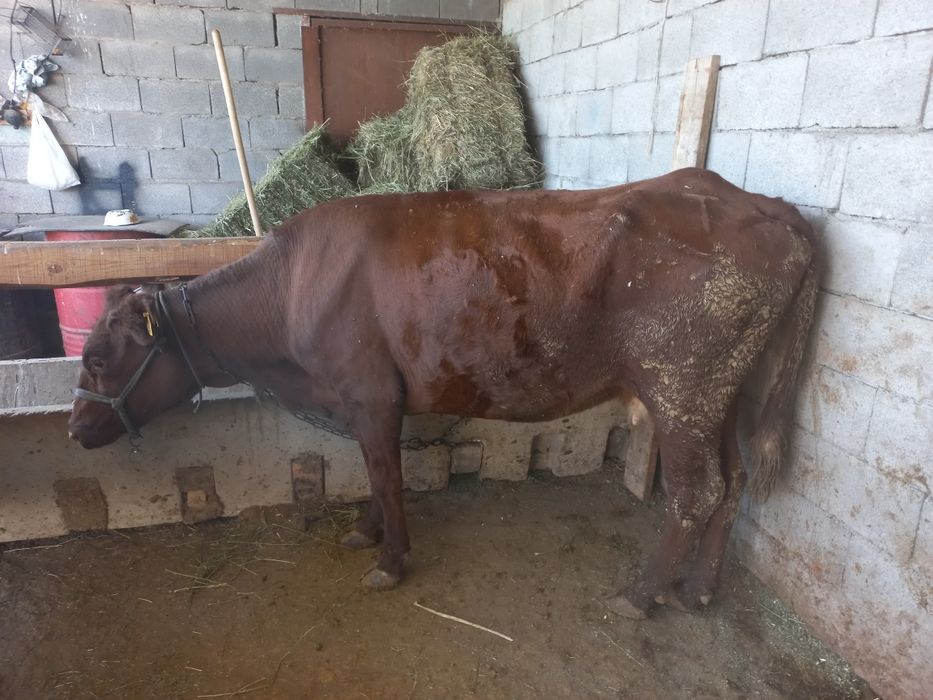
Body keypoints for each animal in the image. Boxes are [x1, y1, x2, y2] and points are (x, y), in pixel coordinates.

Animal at [68, 168, 819, 619]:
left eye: (99, 359)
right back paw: (700, 588)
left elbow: (385, 474)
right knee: (732, 480)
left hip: (682, 384)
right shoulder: (368, 402)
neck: (292, 287)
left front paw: (389, 559)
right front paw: (366, 533)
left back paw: (642, 593)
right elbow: (375, 473)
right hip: (725, 390)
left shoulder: (370, 394)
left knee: (694, 491)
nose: (75, 429)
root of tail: (764, 204)